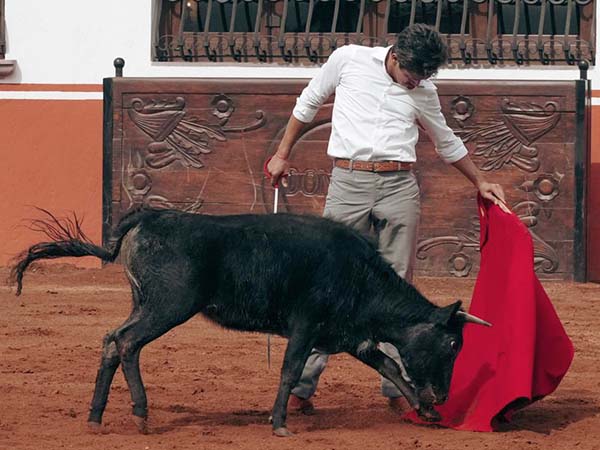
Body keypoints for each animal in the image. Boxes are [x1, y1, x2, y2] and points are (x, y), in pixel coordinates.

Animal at [12, 207, 492, 436]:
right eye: (453, 345)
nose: (444, 394)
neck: (359, 276)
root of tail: (151, 216)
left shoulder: (351, 337)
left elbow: (392, 366)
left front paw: (425, 410)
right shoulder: (306, 327)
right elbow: (290, 371)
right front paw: (279, 424)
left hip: (144, 304)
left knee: (111, 340)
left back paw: (96, 417)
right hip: (167, 306)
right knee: (127, 343)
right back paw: (142, 415)